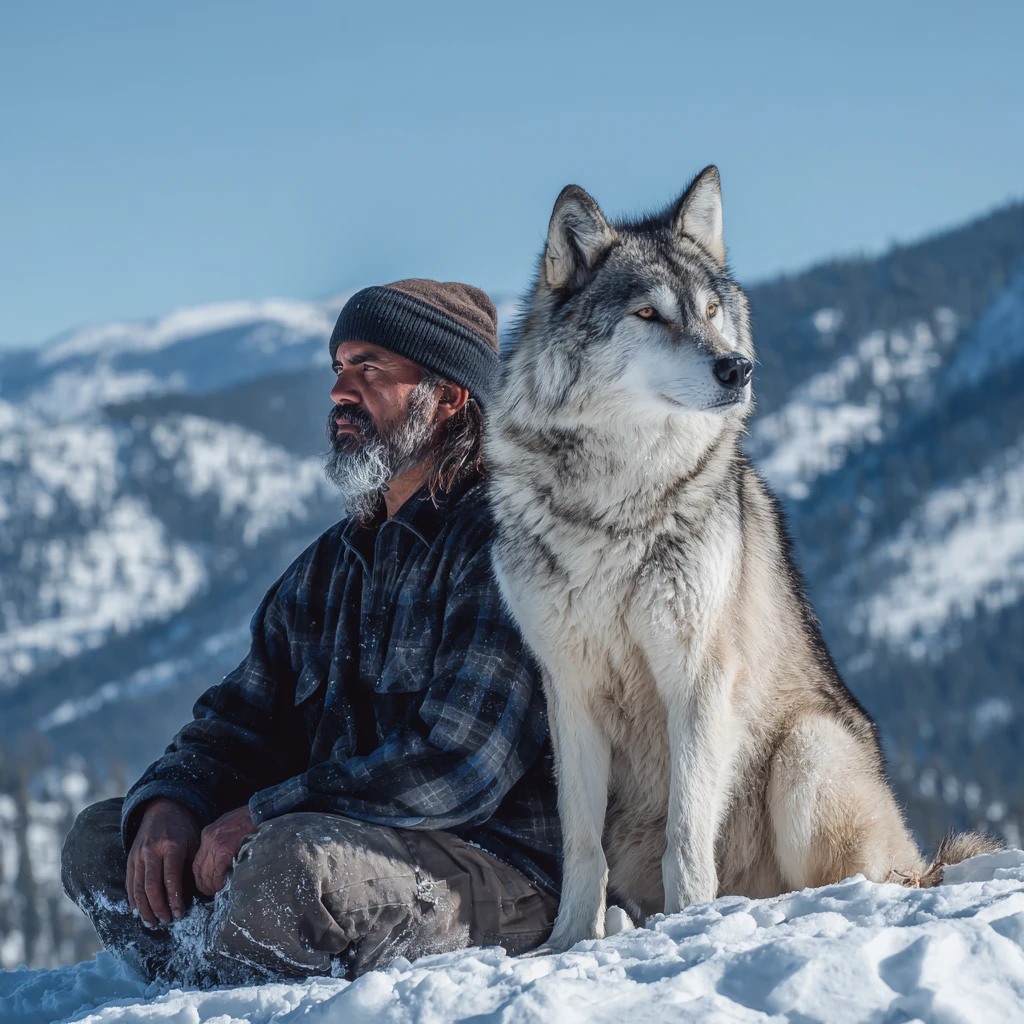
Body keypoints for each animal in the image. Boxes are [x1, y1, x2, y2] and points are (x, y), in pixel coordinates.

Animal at [486, 166, 1000, 952]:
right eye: (648, 314)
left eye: (708, 311)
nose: (738, 368)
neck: (616, 503)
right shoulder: (568, 692)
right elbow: (579, 846)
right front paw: (568, 944)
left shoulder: (698, 676)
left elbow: (687, 835)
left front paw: (688, 927)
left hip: (806, 752)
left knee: (864, 882)